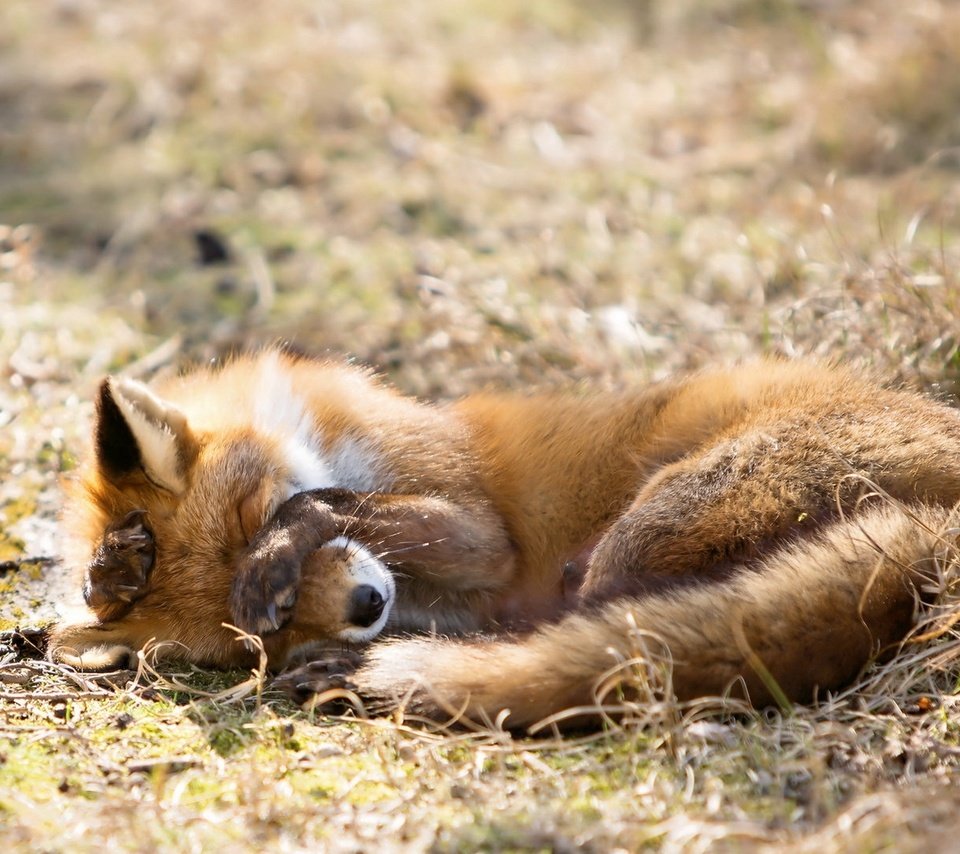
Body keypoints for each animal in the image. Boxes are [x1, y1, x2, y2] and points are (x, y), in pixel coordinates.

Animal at [47, 348, 960, 728]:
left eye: (249, 513)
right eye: (256, 644)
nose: (366, 605)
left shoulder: (478, 529)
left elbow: (321, 502)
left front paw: (270, 548)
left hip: (649, 526)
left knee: (607, 633)